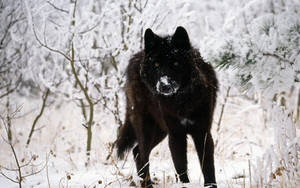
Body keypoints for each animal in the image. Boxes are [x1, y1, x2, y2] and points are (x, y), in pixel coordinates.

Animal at [115, 26, 218, 187]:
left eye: (175, 64)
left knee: (137, 151)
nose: (164, 85)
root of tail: (136, 57)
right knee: (142, 154)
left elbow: (207, 166)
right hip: (147, 128)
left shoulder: (202, 132)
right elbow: (180, 165)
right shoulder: (176, 134)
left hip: (160, 131)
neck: (182, 101)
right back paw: (147, 185)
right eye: (156, 65)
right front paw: (184, 185)